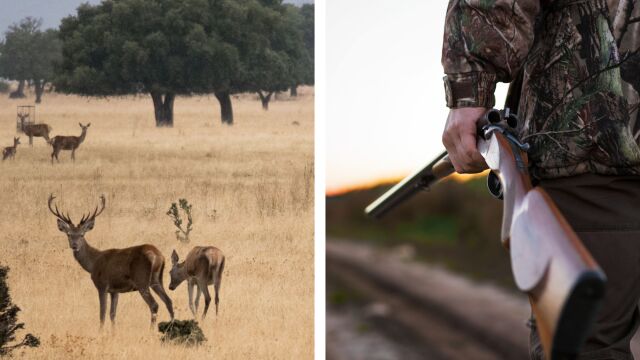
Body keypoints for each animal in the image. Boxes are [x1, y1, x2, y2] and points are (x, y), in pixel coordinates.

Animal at [47, 195, 175, 328]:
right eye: (69, 234)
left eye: (82, 234)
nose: (74, 245)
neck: (93, 263)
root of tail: (158, 256)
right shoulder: (115, 291)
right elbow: (112, 314)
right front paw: (113, 331)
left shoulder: (102, 285)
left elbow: (102, 314)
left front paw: (101, 331)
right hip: (156, 279)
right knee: (169, 301)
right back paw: (171, 326)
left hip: (142, 280)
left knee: (154, 304)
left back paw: (151, 330)